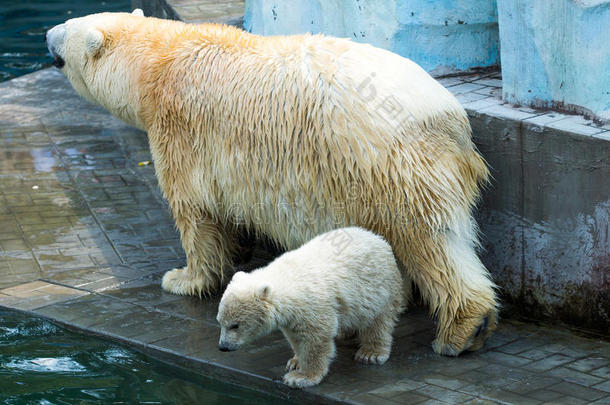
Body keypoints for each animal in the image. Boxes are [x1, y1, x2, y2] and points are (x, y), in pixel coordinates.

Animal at [46, 7, 494, 352]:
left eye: (66, 29)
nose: (47, 33)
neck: (158, 60)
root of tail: (447, 116)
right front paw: (241, 250)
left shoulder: (182, 131)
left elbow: (195, 210)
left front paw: (183, 279)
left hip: (385, 164)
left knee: (426, 240)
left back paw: (461, 330)